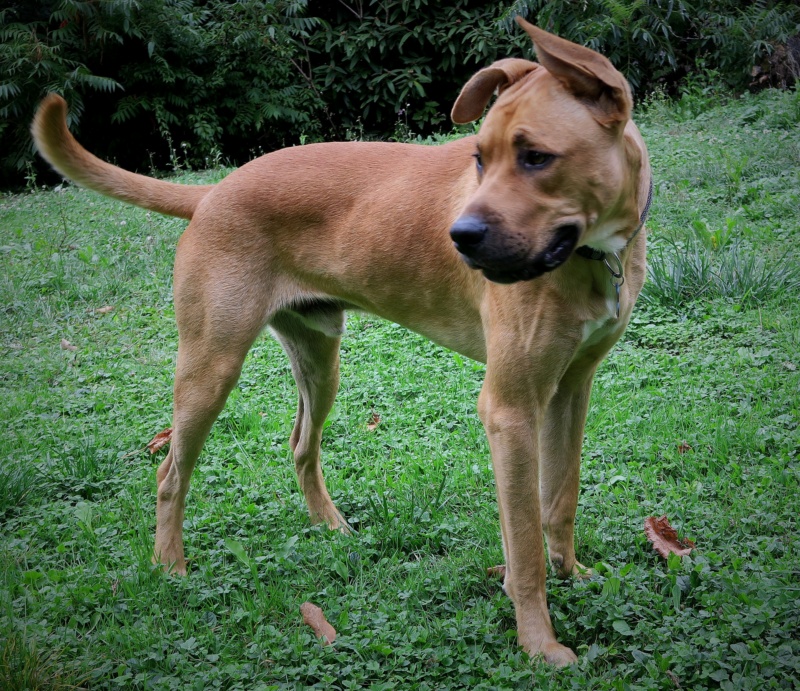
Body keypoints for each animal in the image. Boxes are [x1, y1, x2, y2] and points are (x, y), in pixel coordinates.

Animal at [32, 16, 648, 664]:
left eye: (536, 158)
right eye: (479, 158)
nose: (458, 237)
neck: (594, 254)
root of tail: (213, 192)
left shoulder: (569, 391)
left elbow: (561, 501)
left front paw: (573, 575)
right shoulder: (510, 408)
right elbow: (523, 544)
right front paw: (538, 641)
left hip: (320, 362)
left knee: (301, 445)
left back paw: (329, 527)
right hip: (210, 369)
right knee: (171, 472)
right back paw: (169, 566)